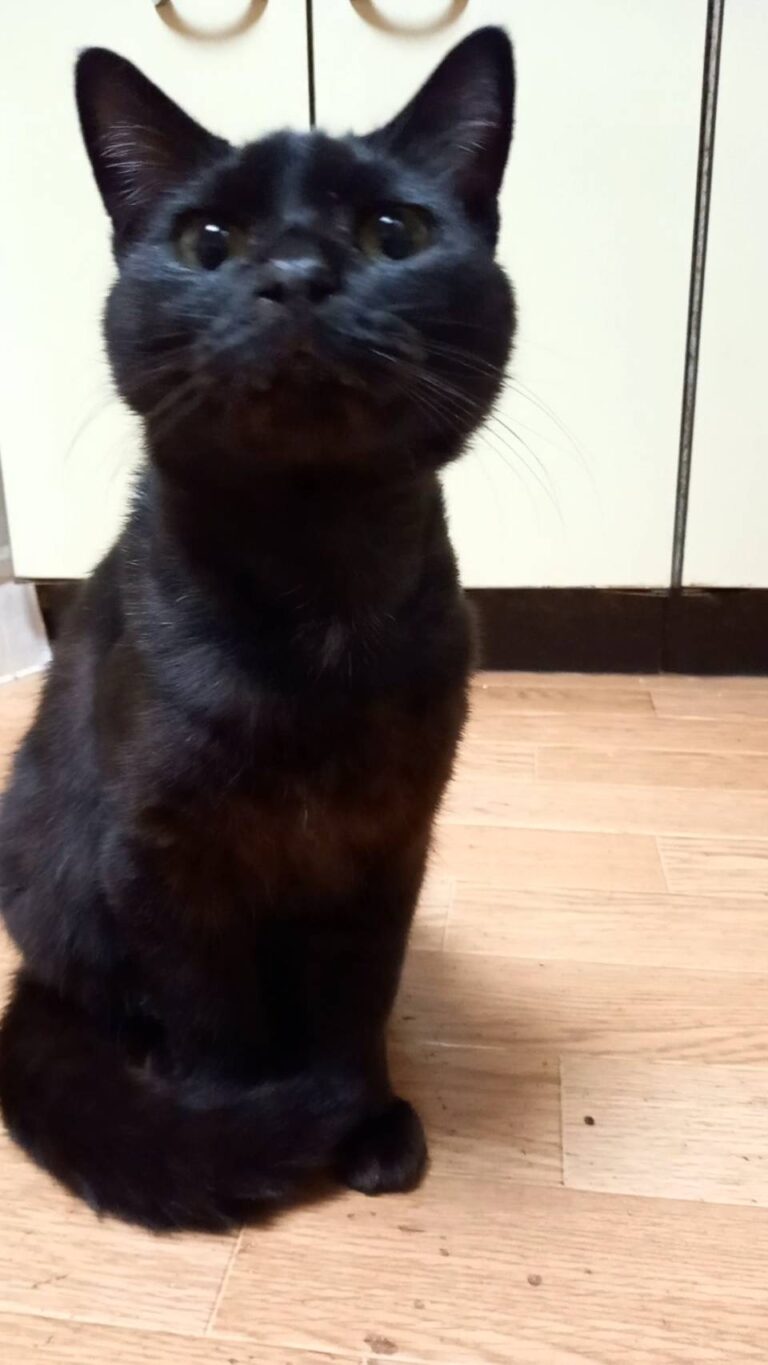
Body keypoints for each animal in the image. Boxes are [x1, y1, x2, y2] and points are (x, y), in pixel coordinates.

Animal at [0, 26, 515, 1231]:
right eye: (209, 239)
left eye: (394, 232)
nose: (295, 276)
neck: (313, 596)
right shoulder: (166, 858)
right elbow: (216, 1014)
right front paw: (242, 1132)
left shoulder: (387, 844)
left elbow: (358, 997)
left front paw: (364, 1119)